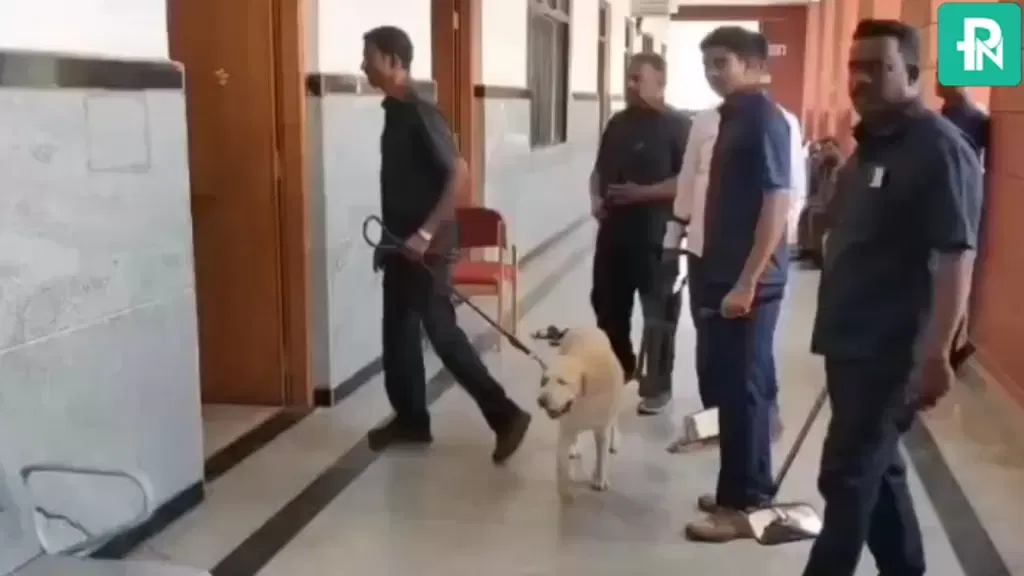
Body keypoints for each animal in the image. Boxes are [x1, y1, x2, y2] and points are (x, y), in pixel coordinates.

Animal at [535, 326, 624, 498]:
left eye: (562, 382)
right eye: (545, 380)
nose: (541, 401)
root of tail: (583, 327)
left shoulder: (601, 430)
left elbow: (601, 457)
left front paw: (599, 479)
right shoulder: (567, 426)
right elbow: (561, 459)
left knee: (615, 421)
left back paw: (614, 441)